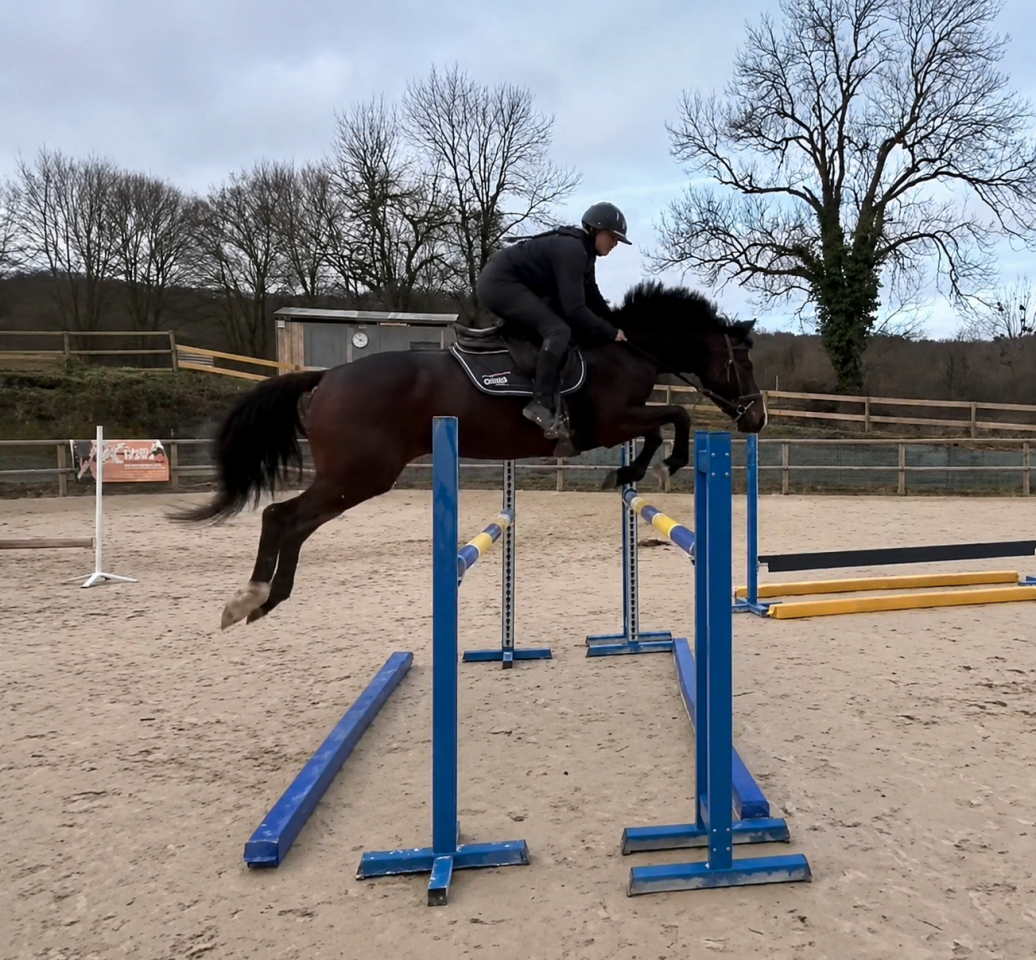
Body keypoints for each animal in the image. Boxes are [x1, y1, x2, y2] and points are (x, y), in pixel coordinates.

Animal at [175, 281, 766, 628]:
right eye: (742, 362)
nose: (756, 418)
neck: (625, 349)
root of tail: (328, 376)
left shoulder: (620, 421)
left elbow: (666, 421)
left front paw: (633, 470)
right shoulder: (611, 422)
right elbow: (676, 417)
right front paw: (656, 465)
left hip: (355, 475)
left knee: (285, 518)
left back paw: (255, 599)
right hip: (360, 474)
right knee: (285, 517)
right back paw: (256, 597)